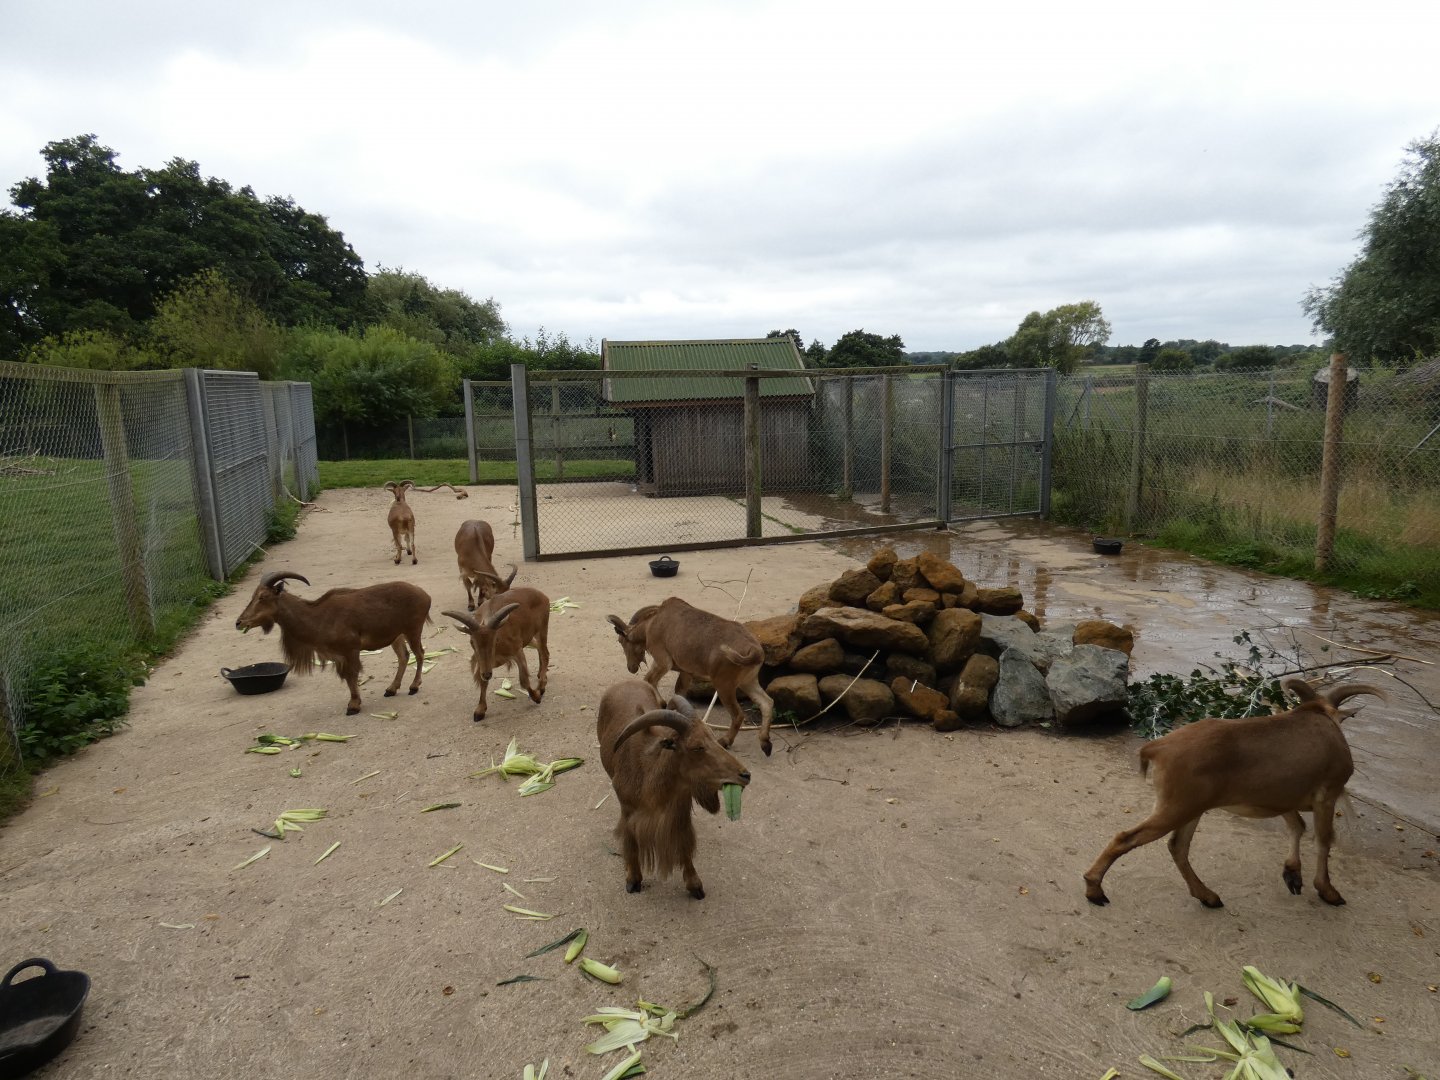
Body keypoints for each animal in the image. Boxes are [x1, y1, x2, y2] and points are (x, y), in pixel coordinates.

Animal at [234, 570, 431, 715]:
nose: (239, 622)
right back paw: (391, 689)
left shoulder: (351, 650)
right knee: (404, 656)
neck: (318, 616)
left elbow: (352, 676)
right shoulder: (340, 655)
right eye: (253, 596)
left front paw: (353, 706)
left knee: (419, 654)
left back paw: (414, 686)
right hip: (396, 636)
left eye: (263, 597)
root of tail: (425, 595)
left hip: (413, 630)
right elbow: (347, 677)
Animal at [441, 584, 551, 722]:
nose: (487, 674)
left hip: (542, 629)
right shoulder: (483, 663)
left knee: (545, 653)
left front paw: (536, 697)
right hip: (530, 637)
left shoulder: (517, 651)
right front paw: (479, 711)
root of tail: (542, 595)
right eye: (472, 642)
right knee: (540, 650)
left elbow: (524, 680)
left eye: (496, 639)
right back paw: (541, 675)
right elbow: (482, 682)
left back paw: (541, 686)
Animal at [597, 679, 751, 899]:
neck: (650, 778)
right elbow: (631, 843)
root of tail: (626, 681)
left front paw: (695, 885)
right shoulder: (628, 811)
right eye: (697, 747)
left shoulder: (680, 811)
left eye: (713, 737)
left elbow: (684, 844)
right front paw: (633, 880)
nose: (745, 775)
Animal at [608, 597, 776, 755]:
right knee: (766, 702)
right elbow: (679, 692)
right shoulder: (686, 672)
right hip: (748, 681)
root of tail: (755, 650)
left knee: (738, 715)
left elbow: (649, 680)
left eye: (621, 641)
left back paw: (725, 741)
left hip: (724, 685)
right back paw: (765, 743)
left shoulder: (663, 661)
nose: (631, 668)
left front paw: (661, 704)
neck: (652, 624)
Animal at [1083, 678, 1384, 909]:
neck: (1320, 717)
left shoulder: (1282, 799)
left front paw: (1293, 875)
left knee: (1178, 846)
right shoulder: (1327, 795)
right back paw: (1095, 890)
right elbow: (1324, 840)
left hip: (1190, 808)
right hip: (1177, 806)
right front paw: (1328, 891)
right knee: (1127, 838)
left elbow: (1297, 826)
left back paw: (1207, 896)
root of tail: (1158, 747)